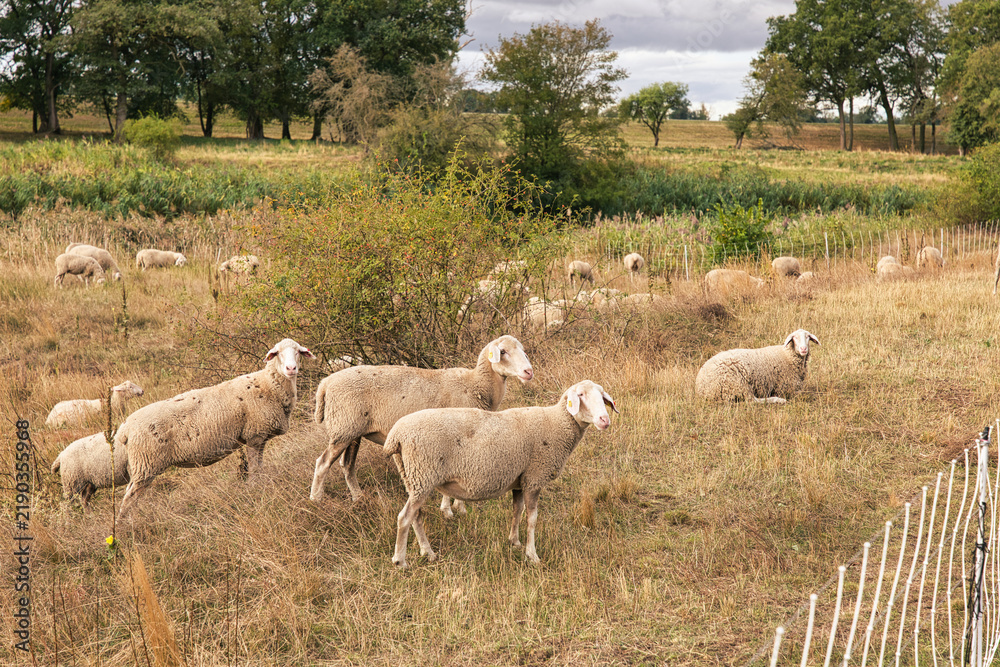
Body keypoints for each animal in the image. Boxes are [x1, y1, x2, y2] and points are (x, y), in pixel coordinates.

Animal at [114, 338, 314, 519]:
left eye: (298, 351)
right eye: (278, 353)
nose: (291, 369)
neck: (269, 385)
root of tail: (125, 428)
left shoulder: (260, 438)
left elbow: (260, 467)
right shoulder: (254, 436)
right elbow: (255, 470)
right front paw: (255, 490)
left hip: (143, 466)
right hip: (146, 463)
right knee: (128, 499)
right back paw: (126, 525)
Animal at [310, 334, 535, 517]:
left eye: (523, 350)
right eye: (503, 351)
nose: (528, 371)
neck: (475, 385)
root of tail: (325, 383)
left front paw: (456, 508)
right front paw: (451, 510)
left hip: (352, 430)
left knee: (347, 465)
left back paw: (358, 498)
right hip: (344, 428)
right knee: (323, 463)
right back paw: (316, 500)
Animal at [384, 379, 618, 568]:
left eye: (602, 396)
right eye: (581, 395)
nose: (604, 420)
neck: (556, 423)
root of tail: (396, 436)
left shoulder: (520, 479)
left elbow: (517, 511)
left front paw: (514, 542)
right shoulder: (534, 477)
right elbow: (532, 518)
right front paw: (532, 555)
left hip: (413, 478)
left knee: (416, 517)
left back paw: (428, 552)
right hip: (422, 475)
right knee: (404, 518)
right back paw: (401, 561)